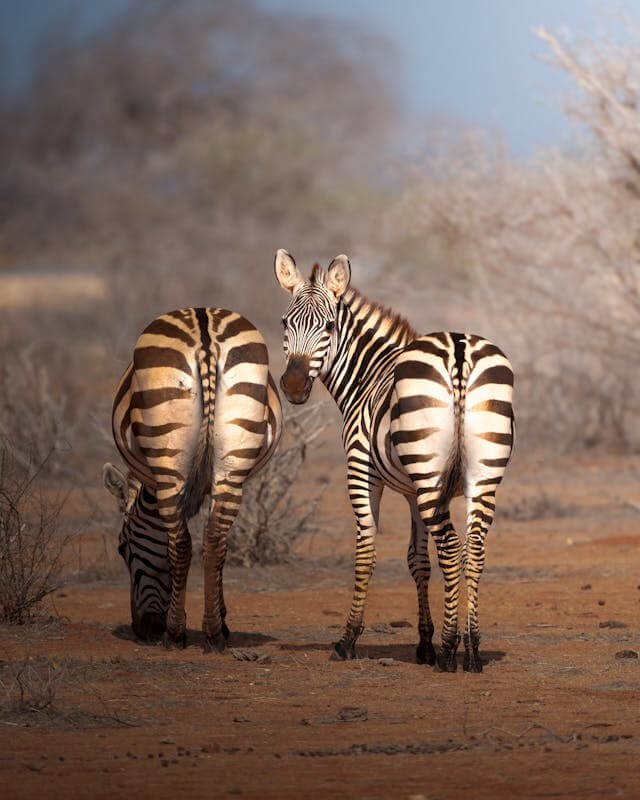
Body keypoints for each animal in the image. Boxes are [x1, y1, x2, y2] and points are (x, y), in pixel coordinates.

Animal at [102, 307, 282, 650]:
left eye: (121, 547)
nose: (143, 629)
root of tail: (204, 329)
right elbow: (222, 547)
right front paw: (222, 620)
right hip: (233, 459)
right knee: (214, 540)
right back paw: (213, 631)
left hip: (169, 457)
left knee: (181, 543)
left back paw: (175, 632)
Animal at [274, 249, 514, 672]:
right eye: (286, 323)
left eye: (329, 326)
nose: (294, 386)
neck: (367, 375)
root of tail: (459, 350)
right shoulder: (414, 492)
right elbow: (418, 559)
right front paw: (423, 643)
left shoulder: (362, 469)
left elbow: (366, 550)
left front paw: (348, 639)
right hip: (479, 476)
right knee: (473, 549)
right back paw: (472, 649)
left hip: (429, 473)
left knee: (451, 547)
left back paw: (450, 650)